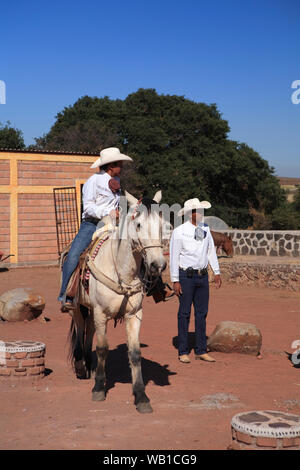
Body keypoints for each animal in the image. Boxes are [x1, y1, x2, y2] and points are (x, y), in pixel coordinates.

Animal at [68, 189, 169, 414]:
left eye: (162, 225)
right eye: (138, 224)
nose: (158, 265)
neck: (122, 273)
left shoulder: (134, 315)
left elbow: (135, 353)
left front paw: (141, 396)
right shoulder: (100, 312)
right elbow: (103, 348)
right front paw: (99, 387)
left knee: (89, 329)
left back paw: (88, 363)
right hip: (77, 307)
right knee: (80, 327)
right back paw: (80, 366)